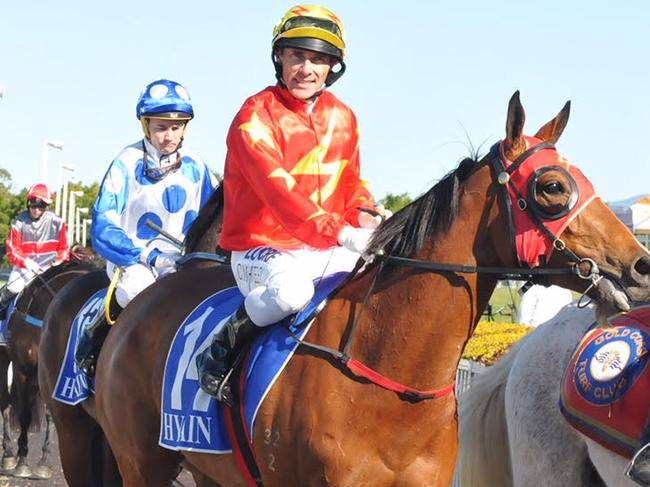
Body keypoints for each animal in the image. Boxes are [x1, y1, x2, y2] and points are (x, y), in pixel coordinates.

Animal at [0, 248, 98, 480]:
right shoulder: (23, 369)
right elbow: (24, 414)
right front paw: (22, 461)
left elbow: (50, 416)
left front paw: (43, 462)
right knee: (5, 404)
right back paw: (8, 454)